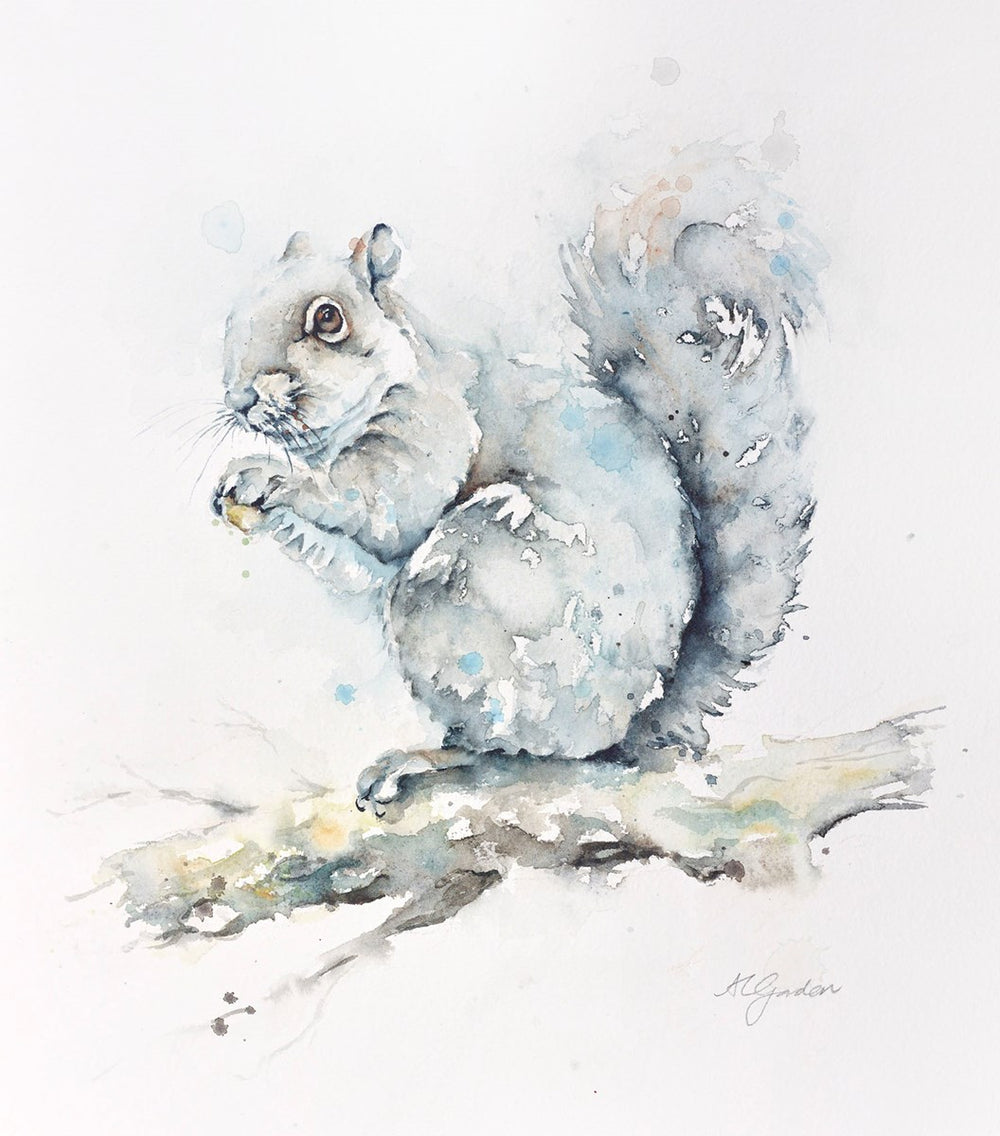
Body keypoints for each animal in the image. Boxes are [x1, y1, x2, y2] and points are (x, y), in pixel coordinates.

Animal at [213, 142, 825, 813]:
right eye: (237, 314)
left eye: (328, 319)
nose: (240, 398)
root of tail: (634, 718)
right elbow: (350, 560)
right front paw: (248, 499)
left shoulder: (435, 431)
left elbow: (387, 504)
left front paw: (269, 475)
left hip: (475, 586)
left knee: (518, 747)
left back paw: (429, 760)